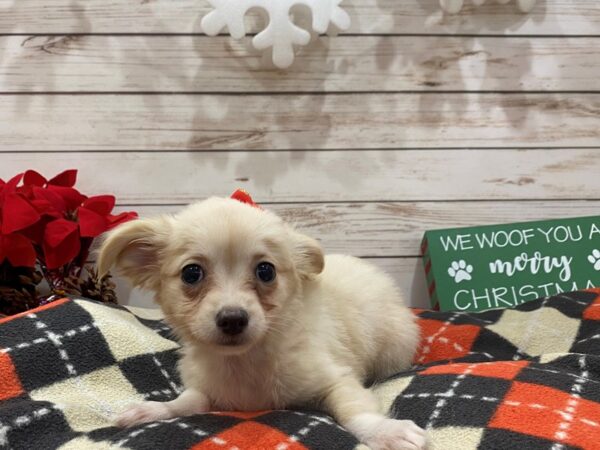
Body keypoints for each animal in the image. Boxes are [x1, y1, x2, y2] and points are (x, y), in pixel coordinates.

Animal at [98, 194, 426, 450]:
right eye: (192, 273)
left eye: (266, 271)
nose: (232, 319)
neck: (244, 362)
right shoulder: (208, 388)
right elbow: (186, 402)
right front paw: (152, 410)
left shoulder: (336, 379)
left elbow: (352, 409)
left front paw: (385, 431)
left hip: (393, 348)